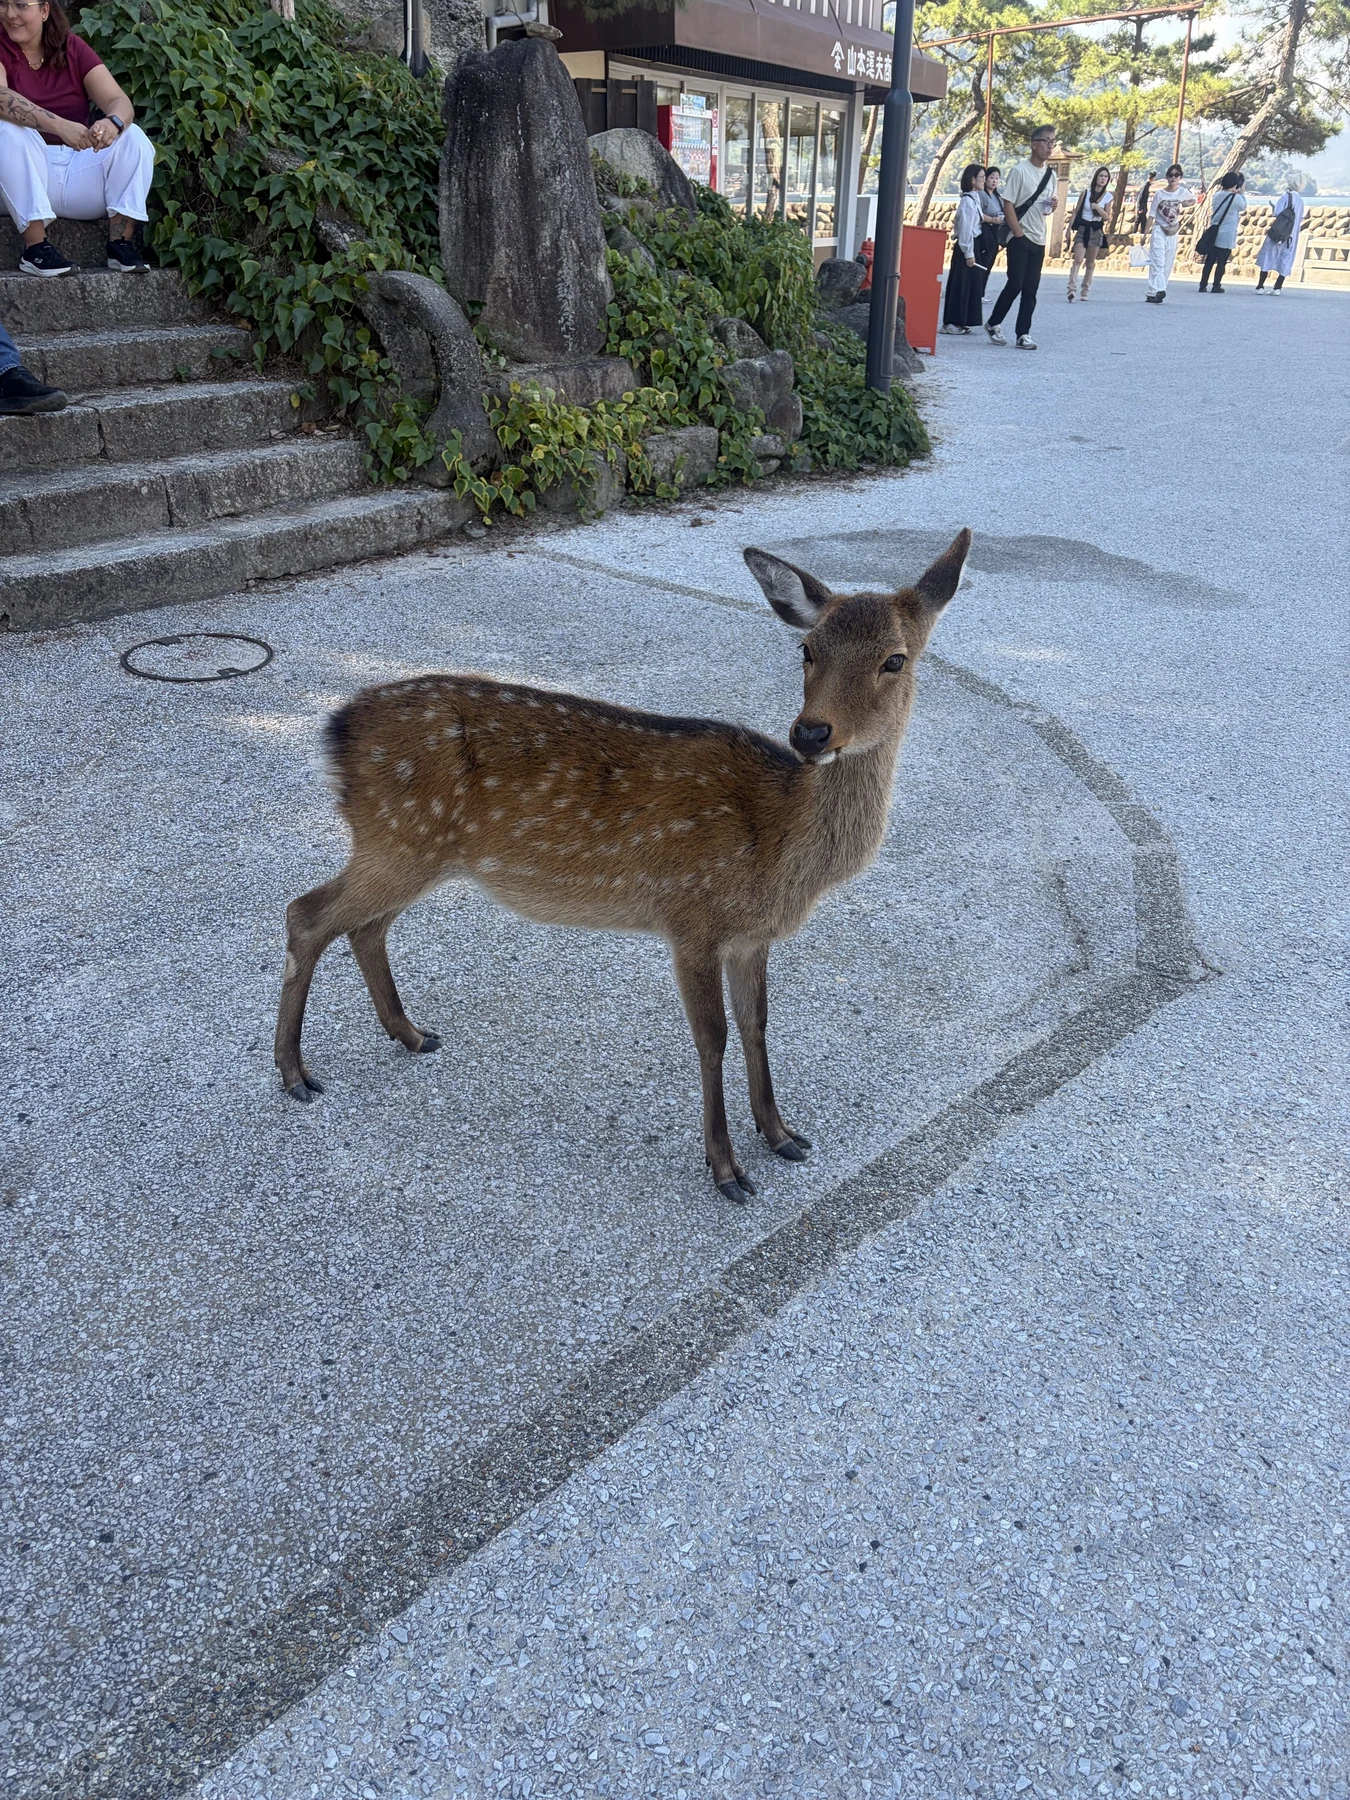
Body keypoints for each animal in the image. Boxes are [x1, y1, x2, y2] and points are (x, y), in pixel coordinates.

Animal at [274, 528, 971, 1201]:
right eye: (806, 649)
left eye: (895, 658)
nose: (811, 734)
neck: (782, 849)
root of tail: (335, 733)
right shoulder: (692, 916)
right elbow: (712, 1036)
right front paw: (726, 1170)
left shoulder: (750, 936)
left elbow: (757, 1024)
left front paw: (782, 1135)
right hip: (398, 838)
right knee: (306, 913)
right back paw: (294, 1072)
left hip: (410, 848)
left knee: (364, 926)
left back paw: (411, 1034)